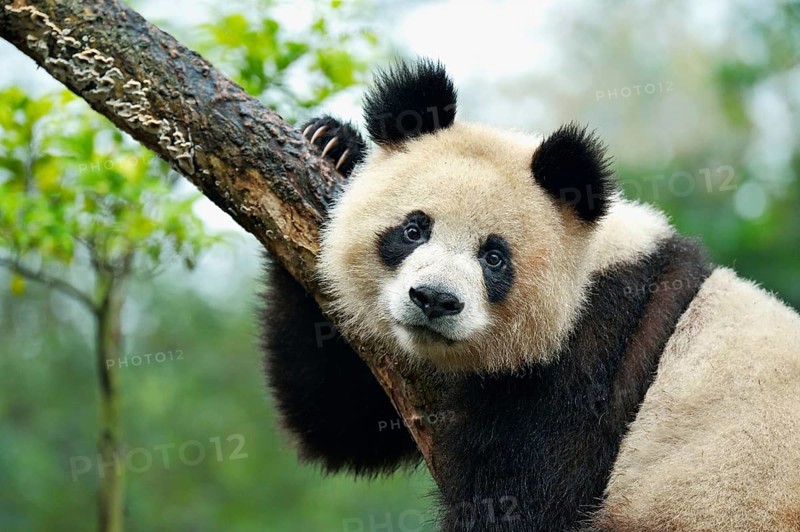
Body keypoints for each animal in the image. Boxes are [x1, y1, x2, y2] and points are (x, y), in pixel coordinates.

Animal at [261, 59, 800, 531]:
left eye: (494, 258)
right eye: (414, 230)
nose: (434, 300)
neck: (590, 267)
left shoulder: (595, 358)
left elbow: (526, 501)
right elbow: (342, 418)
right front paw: (333, 142)